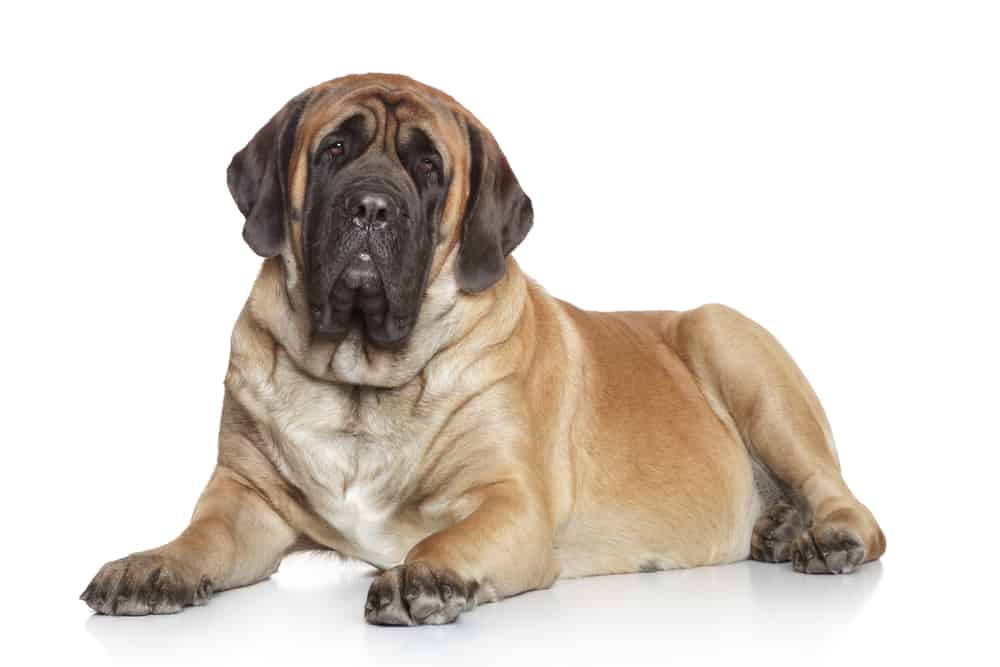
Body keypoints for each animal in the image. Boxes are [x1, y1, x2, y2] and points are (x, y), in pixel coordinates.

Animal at [82, 74, 888, 628]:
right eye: (335, 149)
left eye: (429, 168)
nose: (370, 205)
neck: (360, 378)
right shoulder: (245, 498)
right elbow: (201, 535)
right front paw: (152, 565)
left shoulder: (510, 501)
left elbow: (451, 537)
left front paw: (423, 574)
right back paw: (779, 527)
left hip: (725, 338)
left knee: (855, 507)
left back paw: (825, 537)